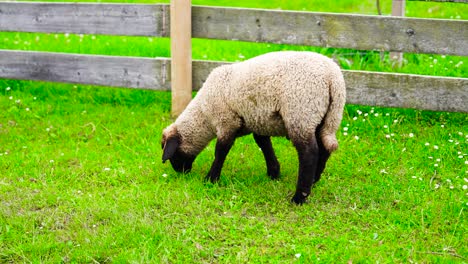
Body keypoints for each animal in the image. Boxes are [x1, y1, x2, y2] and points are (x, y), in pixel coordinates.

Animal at [163, 51, 346, 204]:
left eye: (170, 153)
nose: (180, 172)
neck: (203, 115)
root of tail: (334, 78)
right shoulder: (257, 120)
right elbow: (263, 144)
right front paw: (273, 173)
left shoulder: (227, 121)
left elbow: (221, 151)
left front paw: (211, 179)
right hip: (324, 117)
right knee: (324, 149)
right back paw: (314, 181)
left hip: (301, 113)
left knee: (309, 154)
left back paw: (299, 198)